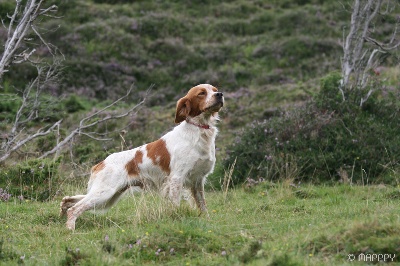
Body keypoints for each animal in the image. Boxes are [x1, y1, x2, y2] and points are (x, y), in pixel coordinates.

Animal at [59, 84, 223, 230]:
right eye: (201, 93)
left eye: (214, 89)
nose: (220, 94)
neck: (200, 131)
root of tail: (101, 163)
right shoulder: (177, 178)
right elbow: (176, 205)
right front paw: (177, 219)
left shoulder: (197, 181)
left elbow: (203, 206)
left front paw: (208, 221)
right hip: (105, 193)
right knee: (75, 208)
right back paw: (70, 229)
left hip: (110, 195)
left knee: (69, 201)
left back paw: (64, 208)